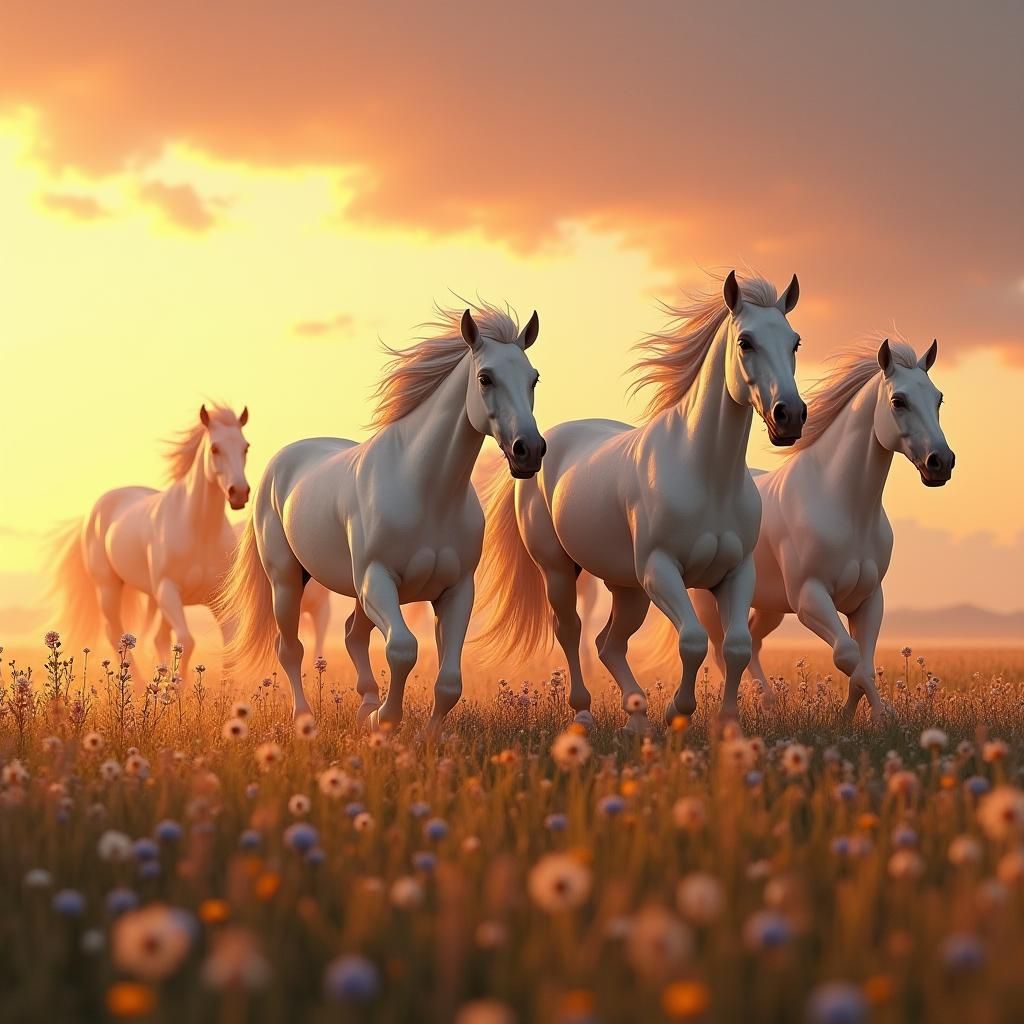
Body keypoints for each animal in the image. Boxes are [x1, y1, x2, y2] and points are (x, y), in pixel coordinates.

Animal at [51, 405, 251, 675]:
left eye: (245, 447)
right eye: (215, 448)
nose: (239, 493)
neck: (200, 531)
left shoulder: (218, 601)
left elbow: (229, 650)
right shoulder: (169, 591)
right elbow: (186, 641)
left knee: (158, 639)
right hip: (109, 588)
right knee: (116, 635)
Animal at [215, 301, 545, 735]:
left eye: (533, 378)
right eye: (485, 378)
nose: (529, 450)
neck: (427, 493)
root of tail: (283, 461)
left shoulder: (457, 591)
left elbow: (449, 681)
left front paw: (427, 736)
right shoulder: (379, 580)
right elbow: (403, 649)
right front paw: (383, 721)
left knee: (352, 636)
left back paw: (364, 704)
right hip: (286, 581)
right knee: (290, 649)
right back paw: (307, 719)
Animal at [473, 270, 805, 732]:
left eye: (795, 342)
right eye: (746, 342)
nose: (789, 416)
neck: (708, 477)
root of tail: (544, 441)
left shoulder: (737, 573)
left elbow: (736, 645)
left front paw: (726, 724)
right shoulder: (660, 570)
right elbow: (693, 641)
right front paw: (678, 712)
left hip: (627, 588)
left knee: (608, 643)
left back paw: (638, 717)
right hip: (560, 571)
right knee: (572, 631)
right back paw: (586, 713)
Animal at [683, 337, 954, 722]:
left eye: (938, 398)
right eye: (898, 401)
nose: (941, 462)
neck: (845, 507)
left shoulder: (868, 600)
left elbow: (865, 664)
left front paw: (852, 717)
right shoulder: (810, 597)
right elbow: (848, 655)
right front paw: (879, 717)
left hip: (769, 607)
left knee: (753, 641)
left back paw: (767, 702)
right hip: (710, 601)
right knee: (723, 648)